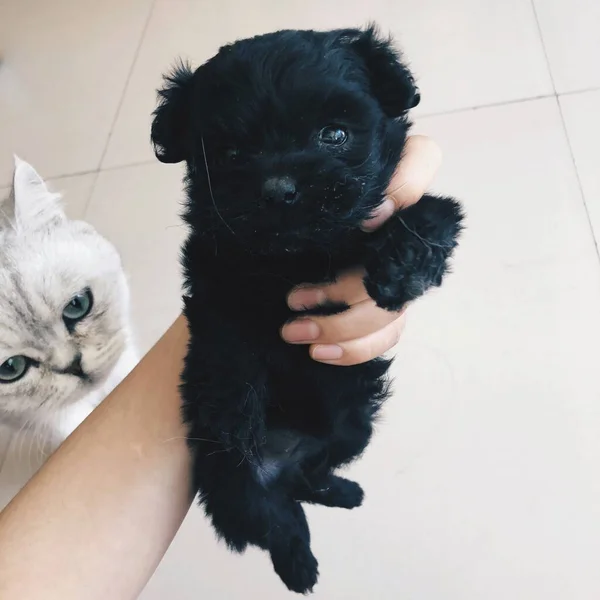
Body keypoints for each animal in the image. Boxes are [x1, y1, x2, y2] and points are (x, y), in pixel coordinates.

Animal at [152, 25, 462, 592]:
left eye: (334, 134)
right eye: (230, 153)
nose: (278, 189)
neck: (296, 257)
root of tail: (284, 457)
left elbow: (434, 211)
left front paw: (401, 268)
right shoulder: (212, 275)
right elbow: (226, 341)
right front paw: (233, 415)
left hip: (350, 429)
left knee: (307, 480)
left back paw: (342, 492)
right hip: (234, 484)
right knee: (277, 521)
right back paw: (299, 566)